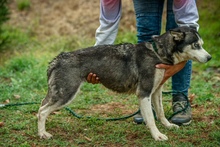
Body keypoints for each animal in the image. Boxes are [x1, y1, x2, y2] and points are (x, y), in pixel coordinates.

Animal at [37, 26, 211, 141]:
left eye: (202, 44)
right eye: (196, 45)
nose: (209, 58)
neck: (157, 53)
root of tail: (57, 59)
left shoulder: (156, 91)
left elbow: (160, 113)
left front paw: (167, 126)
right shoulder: (144, 93)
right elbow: (151, 118)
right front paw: (157, 135)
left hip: (57, 93)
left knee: (40, 108)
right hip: (65, 94)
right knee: (42, 112)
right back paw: (43, 134)